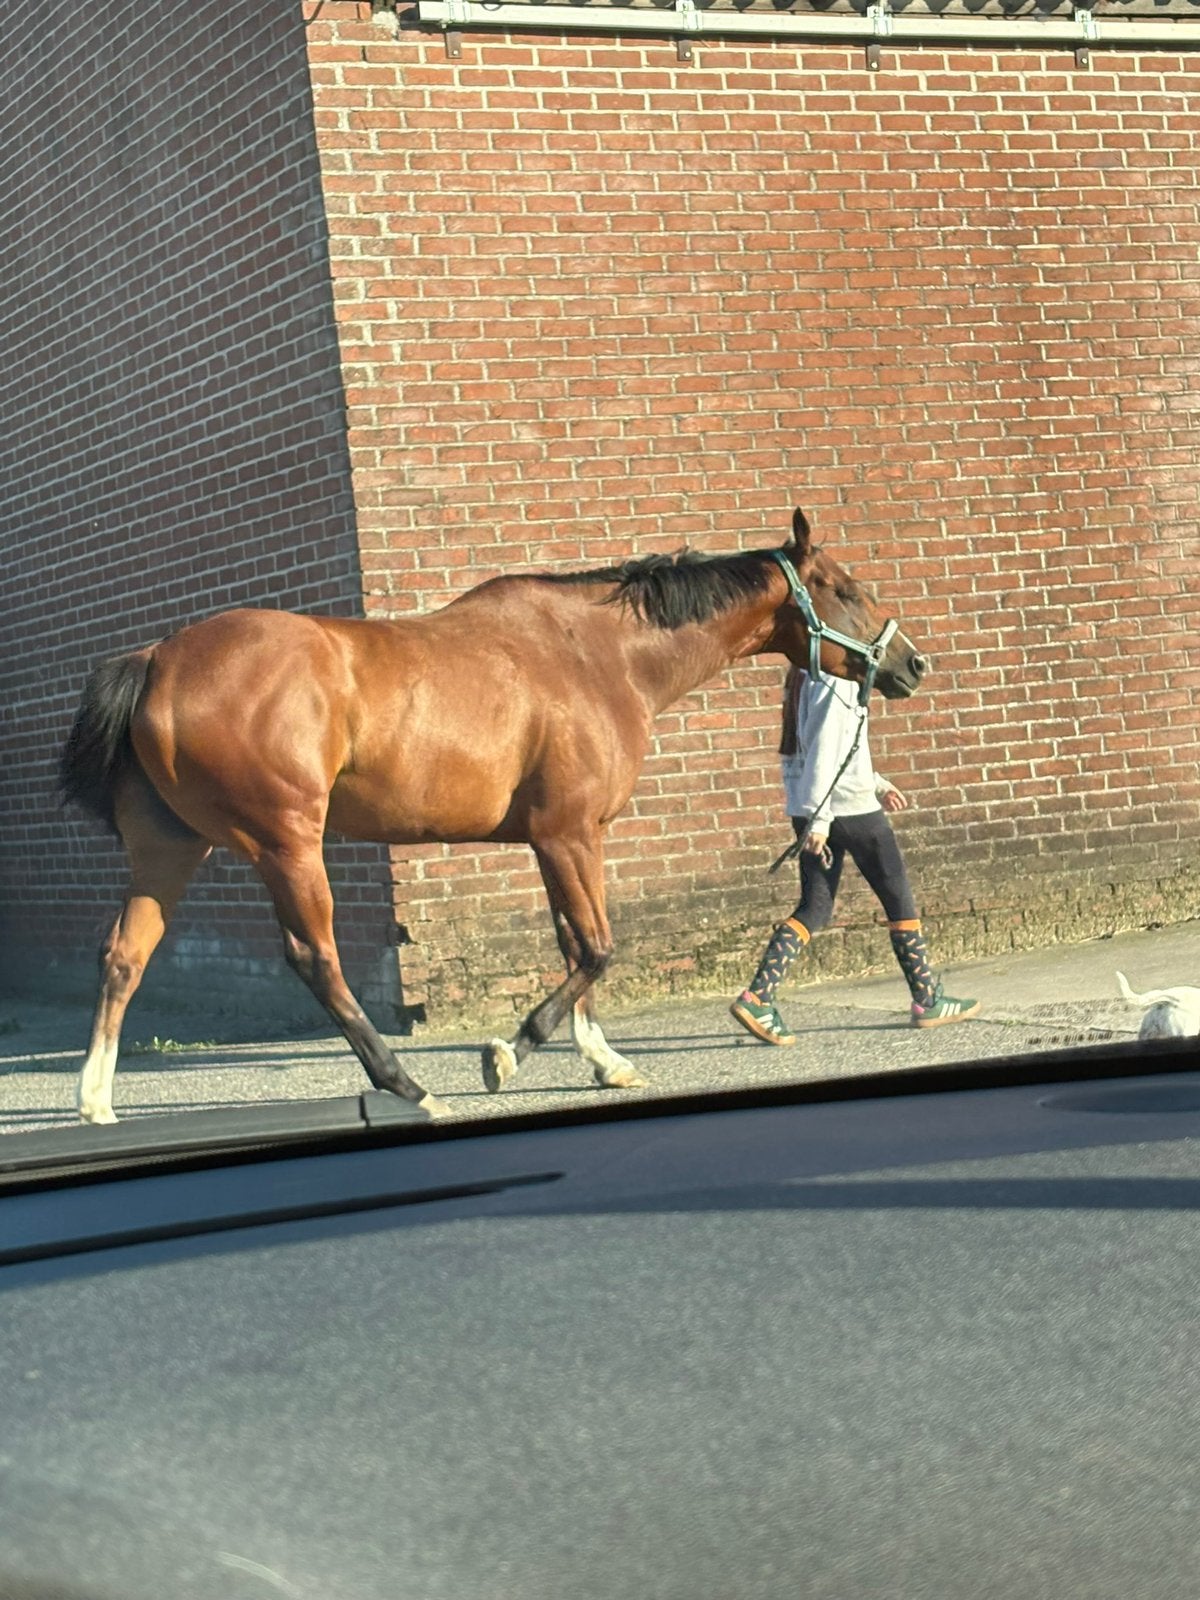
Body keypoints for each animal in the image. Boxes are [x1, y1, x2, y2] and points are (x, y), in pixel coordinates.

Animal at [59, 506, 928, 1124]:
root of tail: (157, 660)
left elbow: (577, 945)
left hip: (172, 849)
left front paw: (605, 1060)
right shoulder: (568, 834)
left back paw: (96, 1101)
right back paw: (410, 1087)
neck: (599, 655)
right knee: (316, 959)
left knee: (124, 954)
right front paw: (506, 1054)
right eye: (847, 588)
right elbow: (598, 947)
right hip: (287, 843)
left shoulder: (560, 840)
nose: (911, 663)